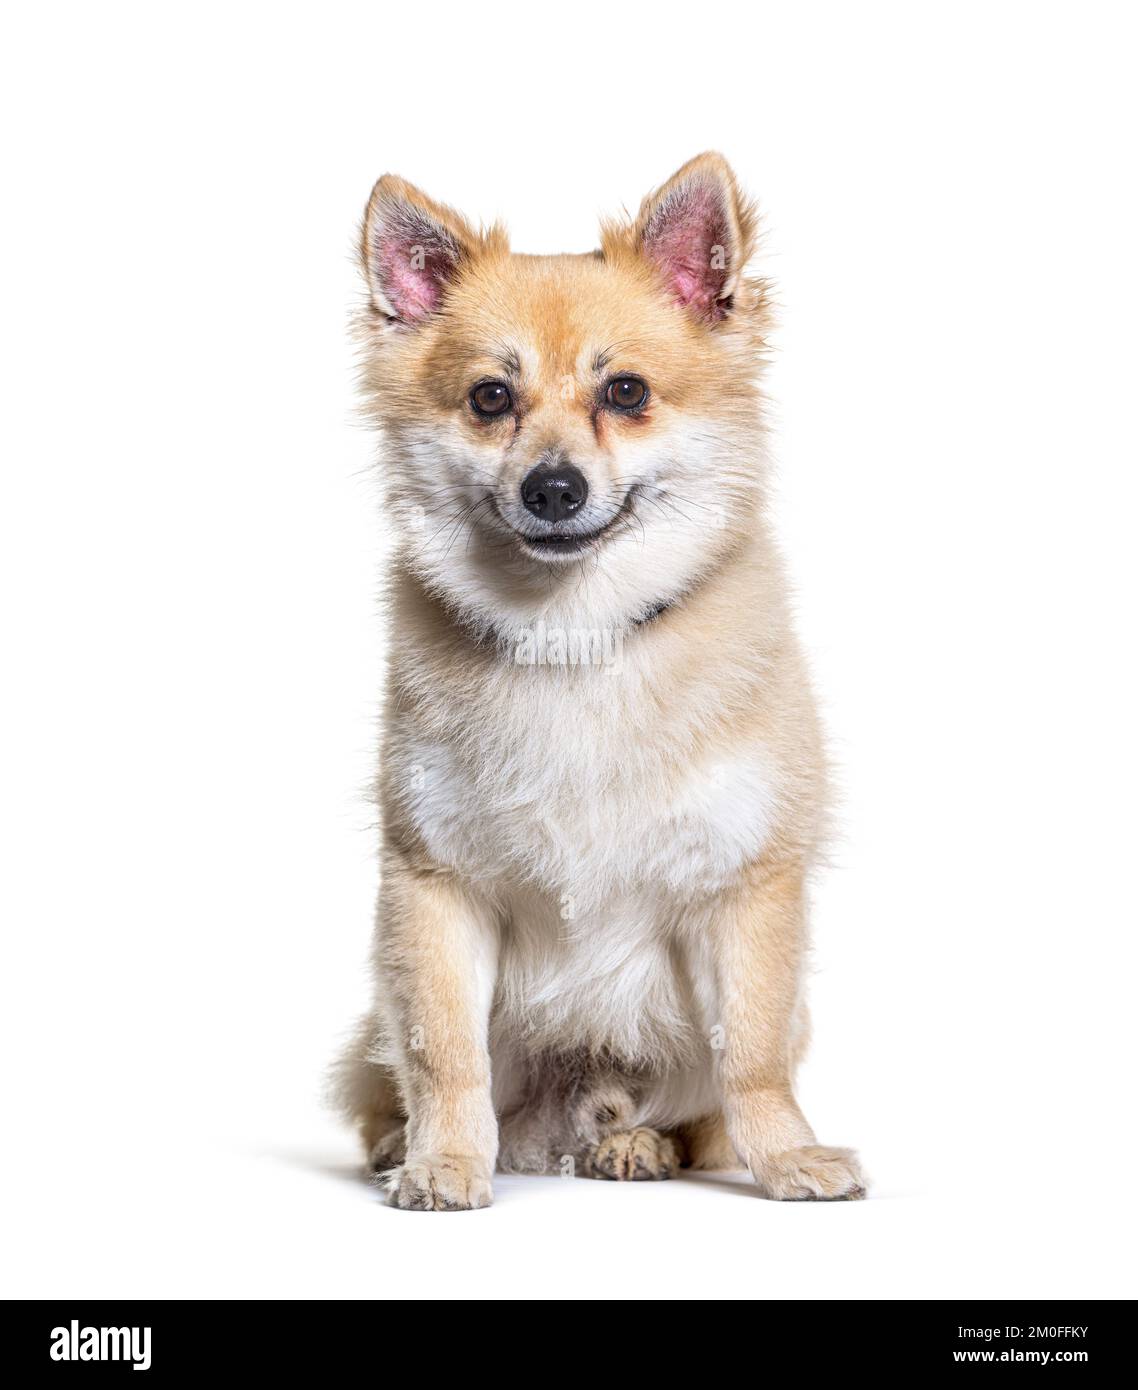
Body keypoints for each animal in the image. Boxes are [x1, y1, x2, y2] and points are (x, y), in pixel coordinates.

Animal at [333, 154, 867, 1206]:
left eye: (624, 392)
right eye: (490, 399)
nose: (553, 488)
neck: (573, 638)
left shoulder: (744, 885)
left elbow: (751, 1051)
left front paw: (786, 1155)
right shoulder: (434, 887)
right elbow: (445, 1050)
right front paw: (445, 1160)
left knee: (689, 1103)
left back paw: (638, 1141)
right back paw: (406, 1141)